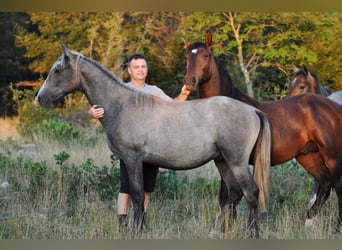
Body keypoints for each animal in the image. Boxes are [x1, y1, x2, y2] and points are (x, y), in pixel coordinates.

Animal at [36, 44, 272, 238]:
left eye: (57, 71)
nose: (40, 98)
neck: (123, 106)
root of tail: (252, 110)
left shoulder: (132, 159)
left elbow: (137, 194)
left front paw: (135, 231)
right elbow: (137, 195)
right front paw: (139, 228)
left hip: (236, 162)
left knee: (251, 193)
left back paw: (252, 233)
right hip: (222, 161)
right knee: (233, 193)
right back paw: (217, 232)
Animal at [184, 30, 342, 235]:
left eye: (205, 55)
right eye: (187, 56)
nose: (189, 82)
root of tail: (334, 107)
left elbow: (230, 196)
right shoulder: (226, 161)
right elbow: (226, 196)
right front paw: (226, 228)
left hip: (332, 156)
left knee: (338, 186)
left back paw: (337, 227)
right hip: (308, 156)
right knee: (325, 183)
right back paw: (308, 222)